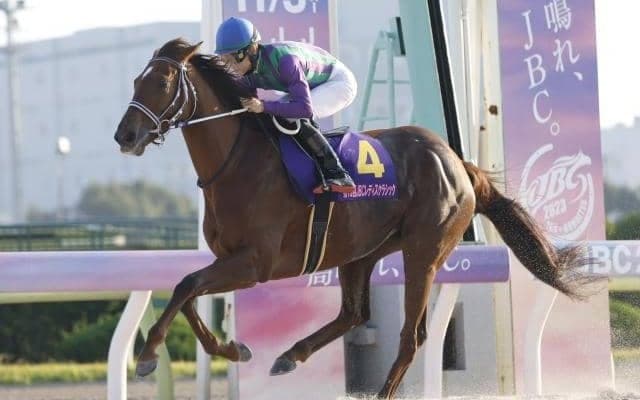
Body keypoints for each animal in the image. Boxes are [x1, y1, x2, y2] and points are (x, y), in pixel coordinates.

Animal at [114, 38, 593, 399]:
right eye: (136, 80)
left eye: (162, 81)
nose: (125, 135)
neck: (239, 161)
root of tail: (458, 162)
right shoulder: (229, 259)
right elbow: (188, 293)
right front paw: (232, 348)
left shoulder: (255, 263)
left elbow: (186, 286)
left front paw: (148, 356)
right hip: (360, 252)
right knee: (354, 313)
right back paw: (289, 356)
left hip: (424, 253)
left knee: (411, 337)